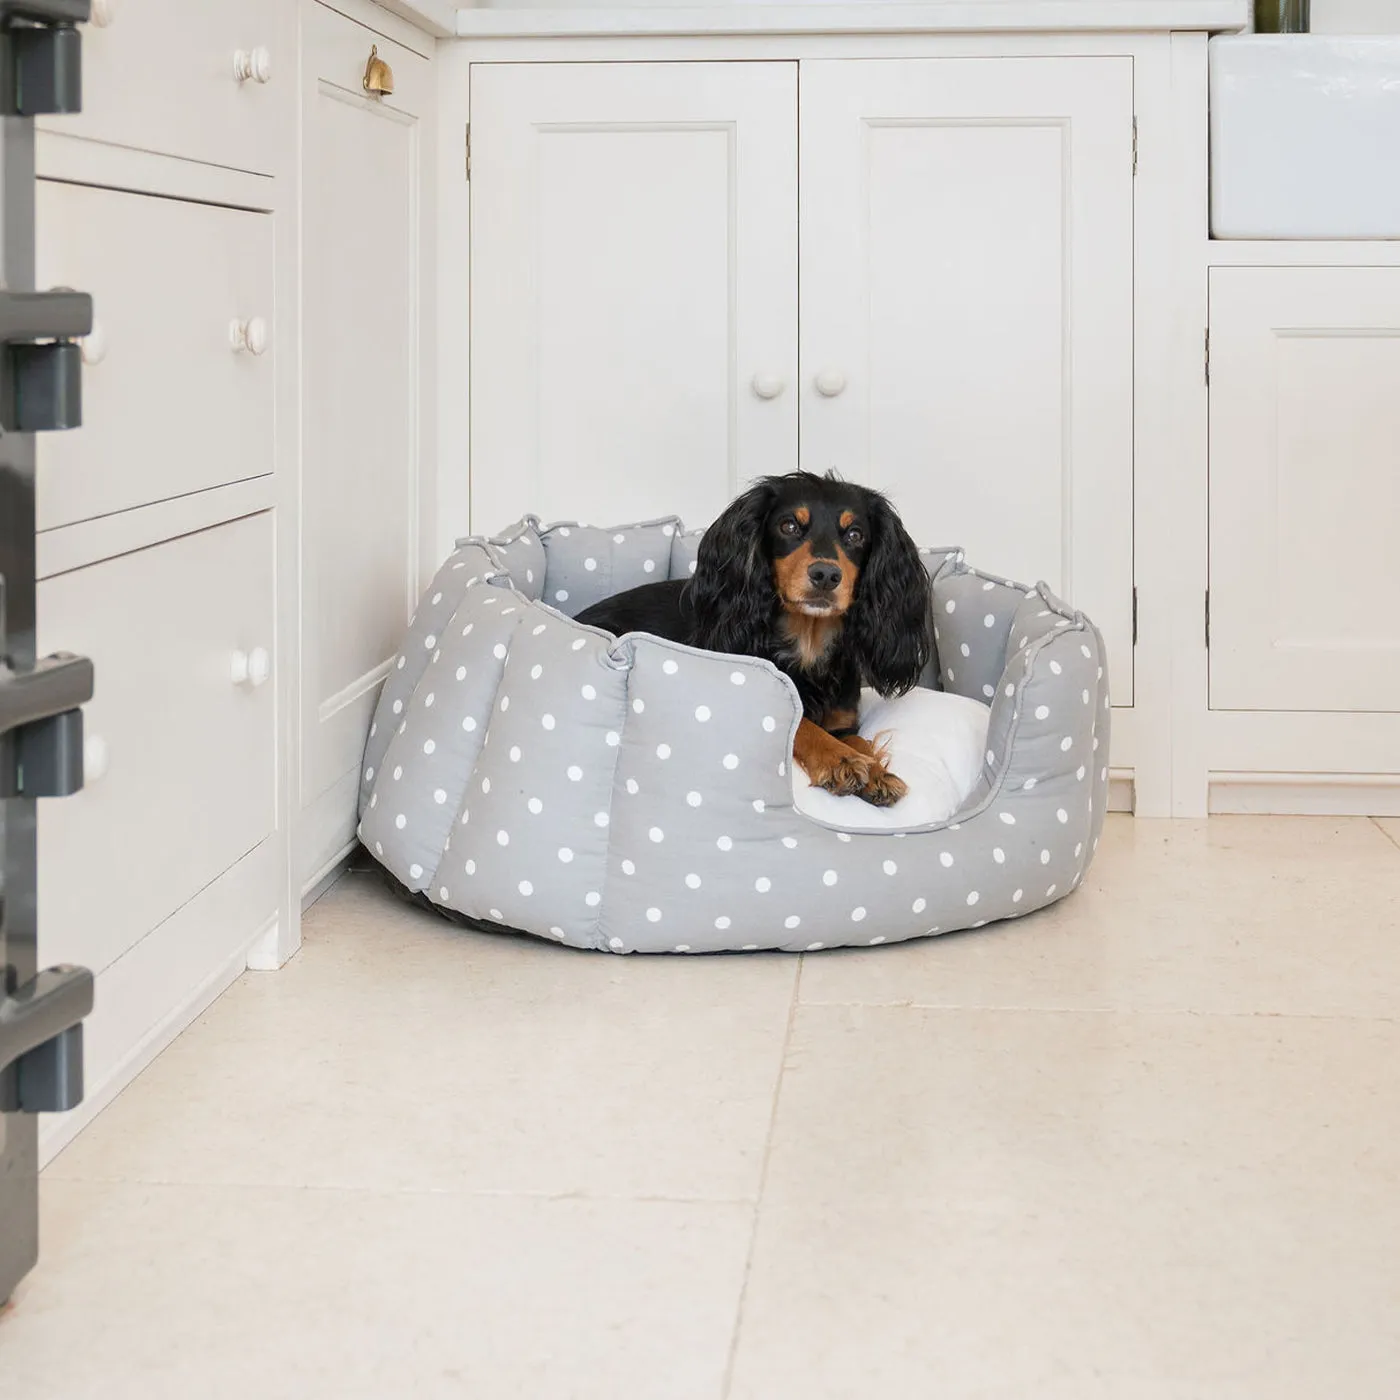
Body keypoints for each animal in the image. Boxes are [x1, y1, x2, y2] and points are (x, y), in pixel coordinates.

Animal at [574, 470, 935, 806]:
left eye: (856, 535)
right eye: (789, 526)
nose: (826, 575)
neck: (807, 643)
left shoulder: (843, 723)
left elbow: (859, 740)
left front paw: (878, 772)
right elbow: (803, 725)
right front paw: (841, 760)